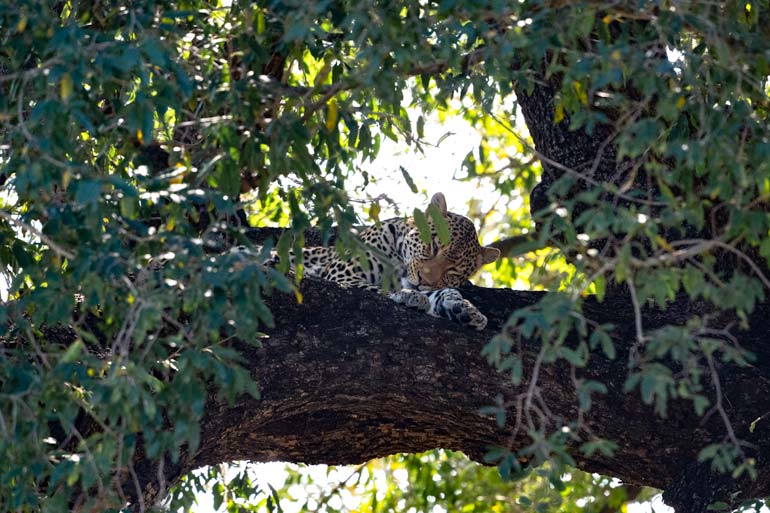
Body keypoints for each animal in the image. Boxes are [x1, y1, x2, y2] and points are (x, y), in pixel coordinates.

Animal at [282, 194, 498, 330]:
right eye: (433, 247)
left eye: (453, 271)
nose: (423, 279)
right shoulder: (342, 276)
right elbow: (378, 290)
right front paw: (410, 295)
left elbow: (442, 292)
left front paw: (464, 309)